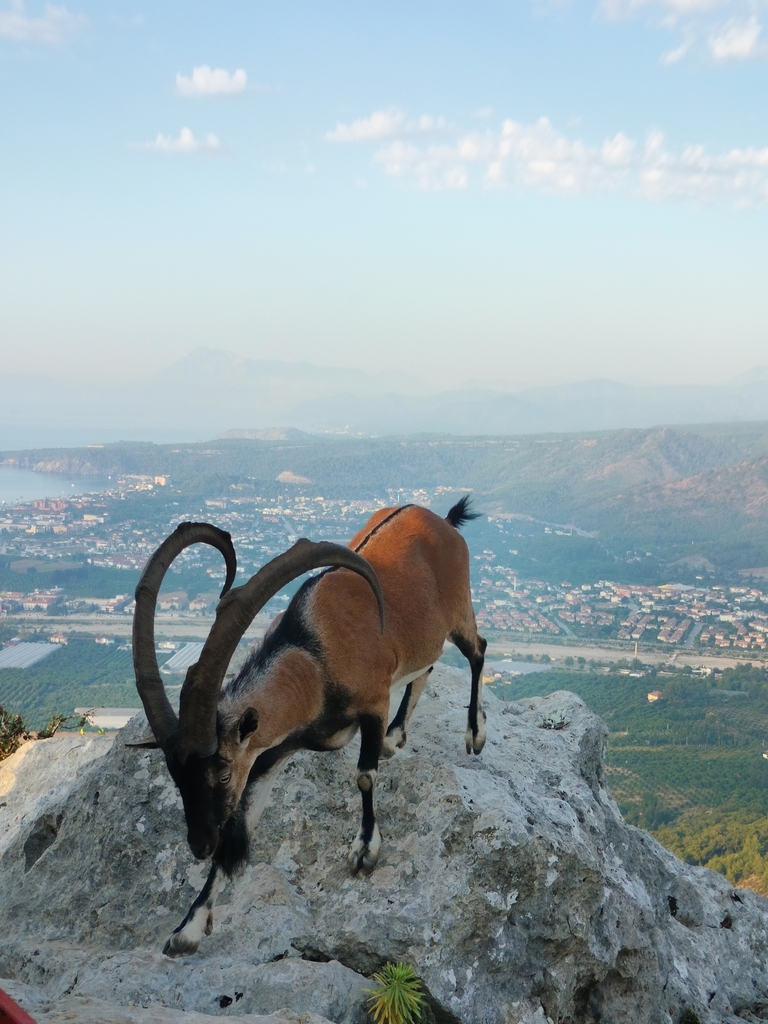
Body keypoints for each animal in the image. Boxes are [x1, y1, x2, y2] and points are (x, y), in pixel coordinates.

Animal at [132, 498, 486, 956]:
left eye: (222, 772)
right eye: (176, 778)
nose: (199, 844)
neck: (314, 656)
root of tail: (440, 521)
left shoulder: (373, 703)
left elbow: (365, 776)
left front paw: (365, 851)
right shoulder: (271, 753)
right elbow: (241, 827)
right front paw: (187, 929)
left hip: (459, 608)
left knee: (477, 650)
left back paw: (474, 733)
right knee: (426, 665)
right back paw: (395, 737)